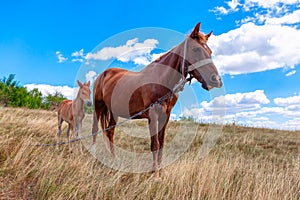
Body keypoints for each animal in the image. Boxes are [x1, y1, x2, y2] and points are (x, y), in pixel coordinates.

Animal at [92, 23, 223, 176]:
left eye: (210, 51)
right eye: (195, 49)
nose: (216, 80)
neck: (162, 80)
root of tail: (102, 75)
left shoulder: (165, 116)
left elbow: (161, 143)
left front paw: (161, 171)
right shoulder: (153, 115)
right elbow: (155, 144)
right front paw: (154, 173)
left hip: (114, 113)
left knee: (110, 133)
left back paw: (114, 159)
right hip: (98, 108)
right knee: (95, 130)